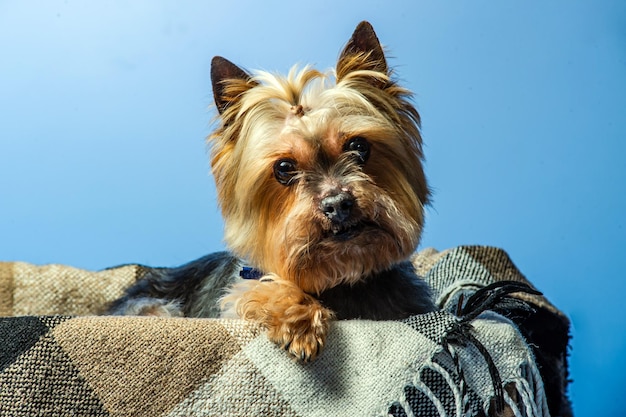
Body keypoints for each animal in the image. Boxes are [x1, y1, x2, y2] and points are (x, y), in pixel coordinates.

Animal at [107, 22, 434, 360]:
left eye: (358, 146)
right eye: (284, 168)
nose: (337, 204)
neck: (343, 279)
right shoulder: (239, 290)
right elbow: (256, 288)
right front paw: (298, 318)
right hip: (152, 307)